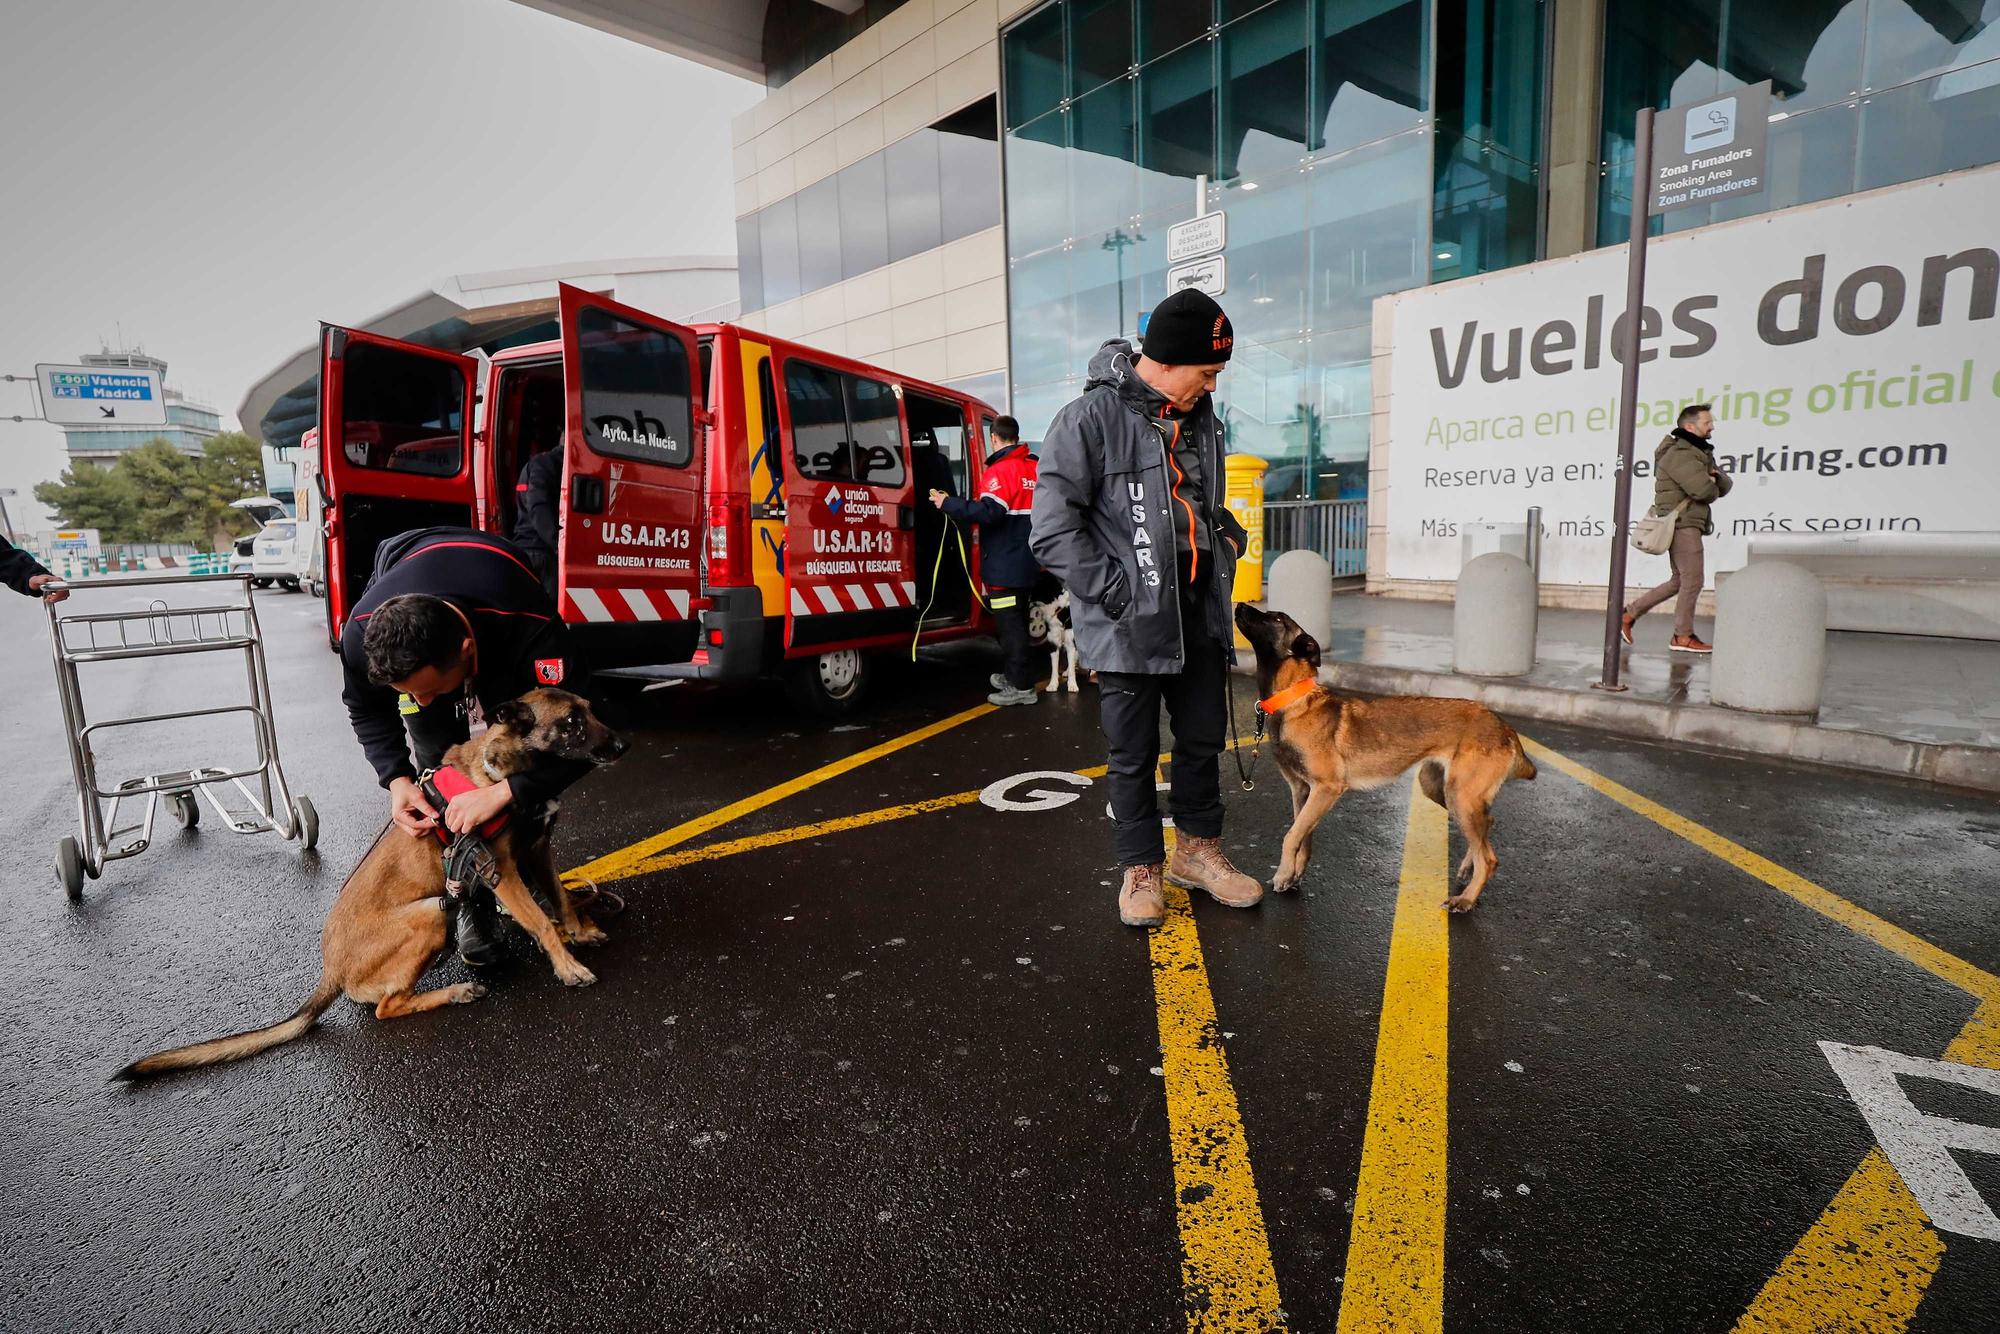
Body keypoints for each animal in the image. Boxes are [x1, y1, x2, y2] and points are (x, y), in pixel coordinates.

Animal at [115, 688, 624, 1088]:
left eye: (591, 710)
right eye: (572, 722)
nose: (623, 743)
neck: (506, 771)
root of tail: (332, 971)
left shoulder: (538, 850)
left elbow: (559, 897)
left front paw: (579, 929)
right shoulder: (502, 870)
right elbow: (541, 921)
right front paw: (568, 965)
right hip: (430, 912)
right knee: (387, 1007)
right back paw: (455, 992)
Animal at [1224, 608, 1536, 912]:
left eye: (1276, 618)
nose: (1238, 606)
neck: (1292, 699)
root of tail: (1504, 726)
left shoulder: (1326, 789)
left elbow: (1291, 835)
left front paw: (1283, 874)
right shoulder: (1303, 791)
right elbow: (1303, 837)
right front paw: (1294, 875)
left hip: (1460, 796)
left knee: (1490, 858)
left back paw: (1466, 899)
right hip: (1439, 788)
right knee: (1488, 825)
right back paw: (1467, 870)